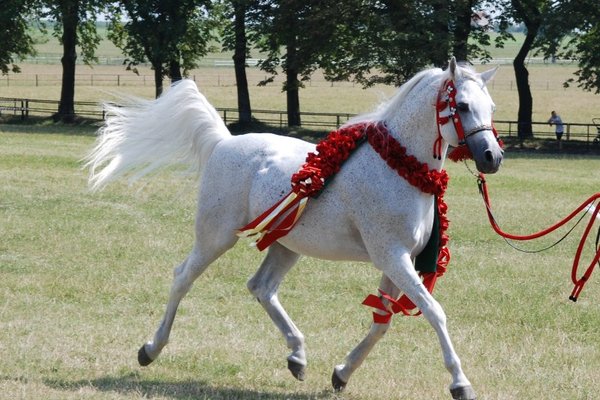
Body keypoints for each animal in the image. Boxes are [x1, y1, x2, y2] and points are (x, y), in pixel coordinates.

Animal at [85, 57, 502, 398]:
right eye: (462, 105)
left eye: (492, 108)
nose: (492, 157)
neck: (398, 168)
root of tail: (223, 143)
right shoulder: (393, 256)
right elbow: (434, 311)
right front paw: (460, 383)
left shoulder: (399, 261)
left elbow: (381, 324)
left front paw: (341, 374)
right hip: (215, 237)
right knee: (182, 277)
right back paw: (150, 349)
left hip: (286, 245)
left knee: (261, 287)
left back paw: (297, 357)